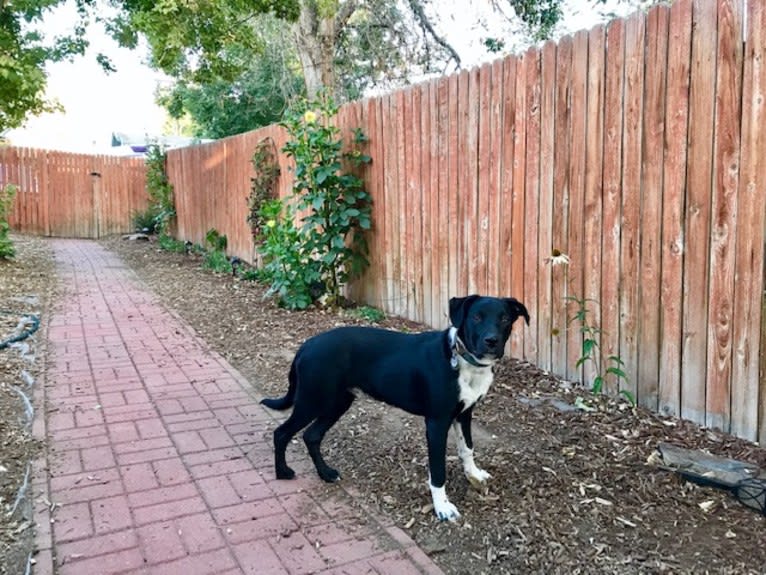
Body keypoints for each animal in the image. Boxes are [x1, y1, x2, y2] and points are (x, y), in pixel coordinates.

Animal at [260, 296, 532, 520]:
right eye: (476, 317)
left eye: (504, 318)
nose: (491, 341)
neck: (462, 359)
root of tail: (306, 345)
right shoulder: (437, 422)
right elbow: (438, 471)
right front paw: (442, 508)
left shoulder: (464, 414)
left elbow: (468, 448)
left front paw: (474, 475)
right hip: (313, 400)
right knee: (282, 432)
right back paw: (283, 471)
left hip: (337, 402)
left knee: (311, 435)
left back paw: (326, 473)